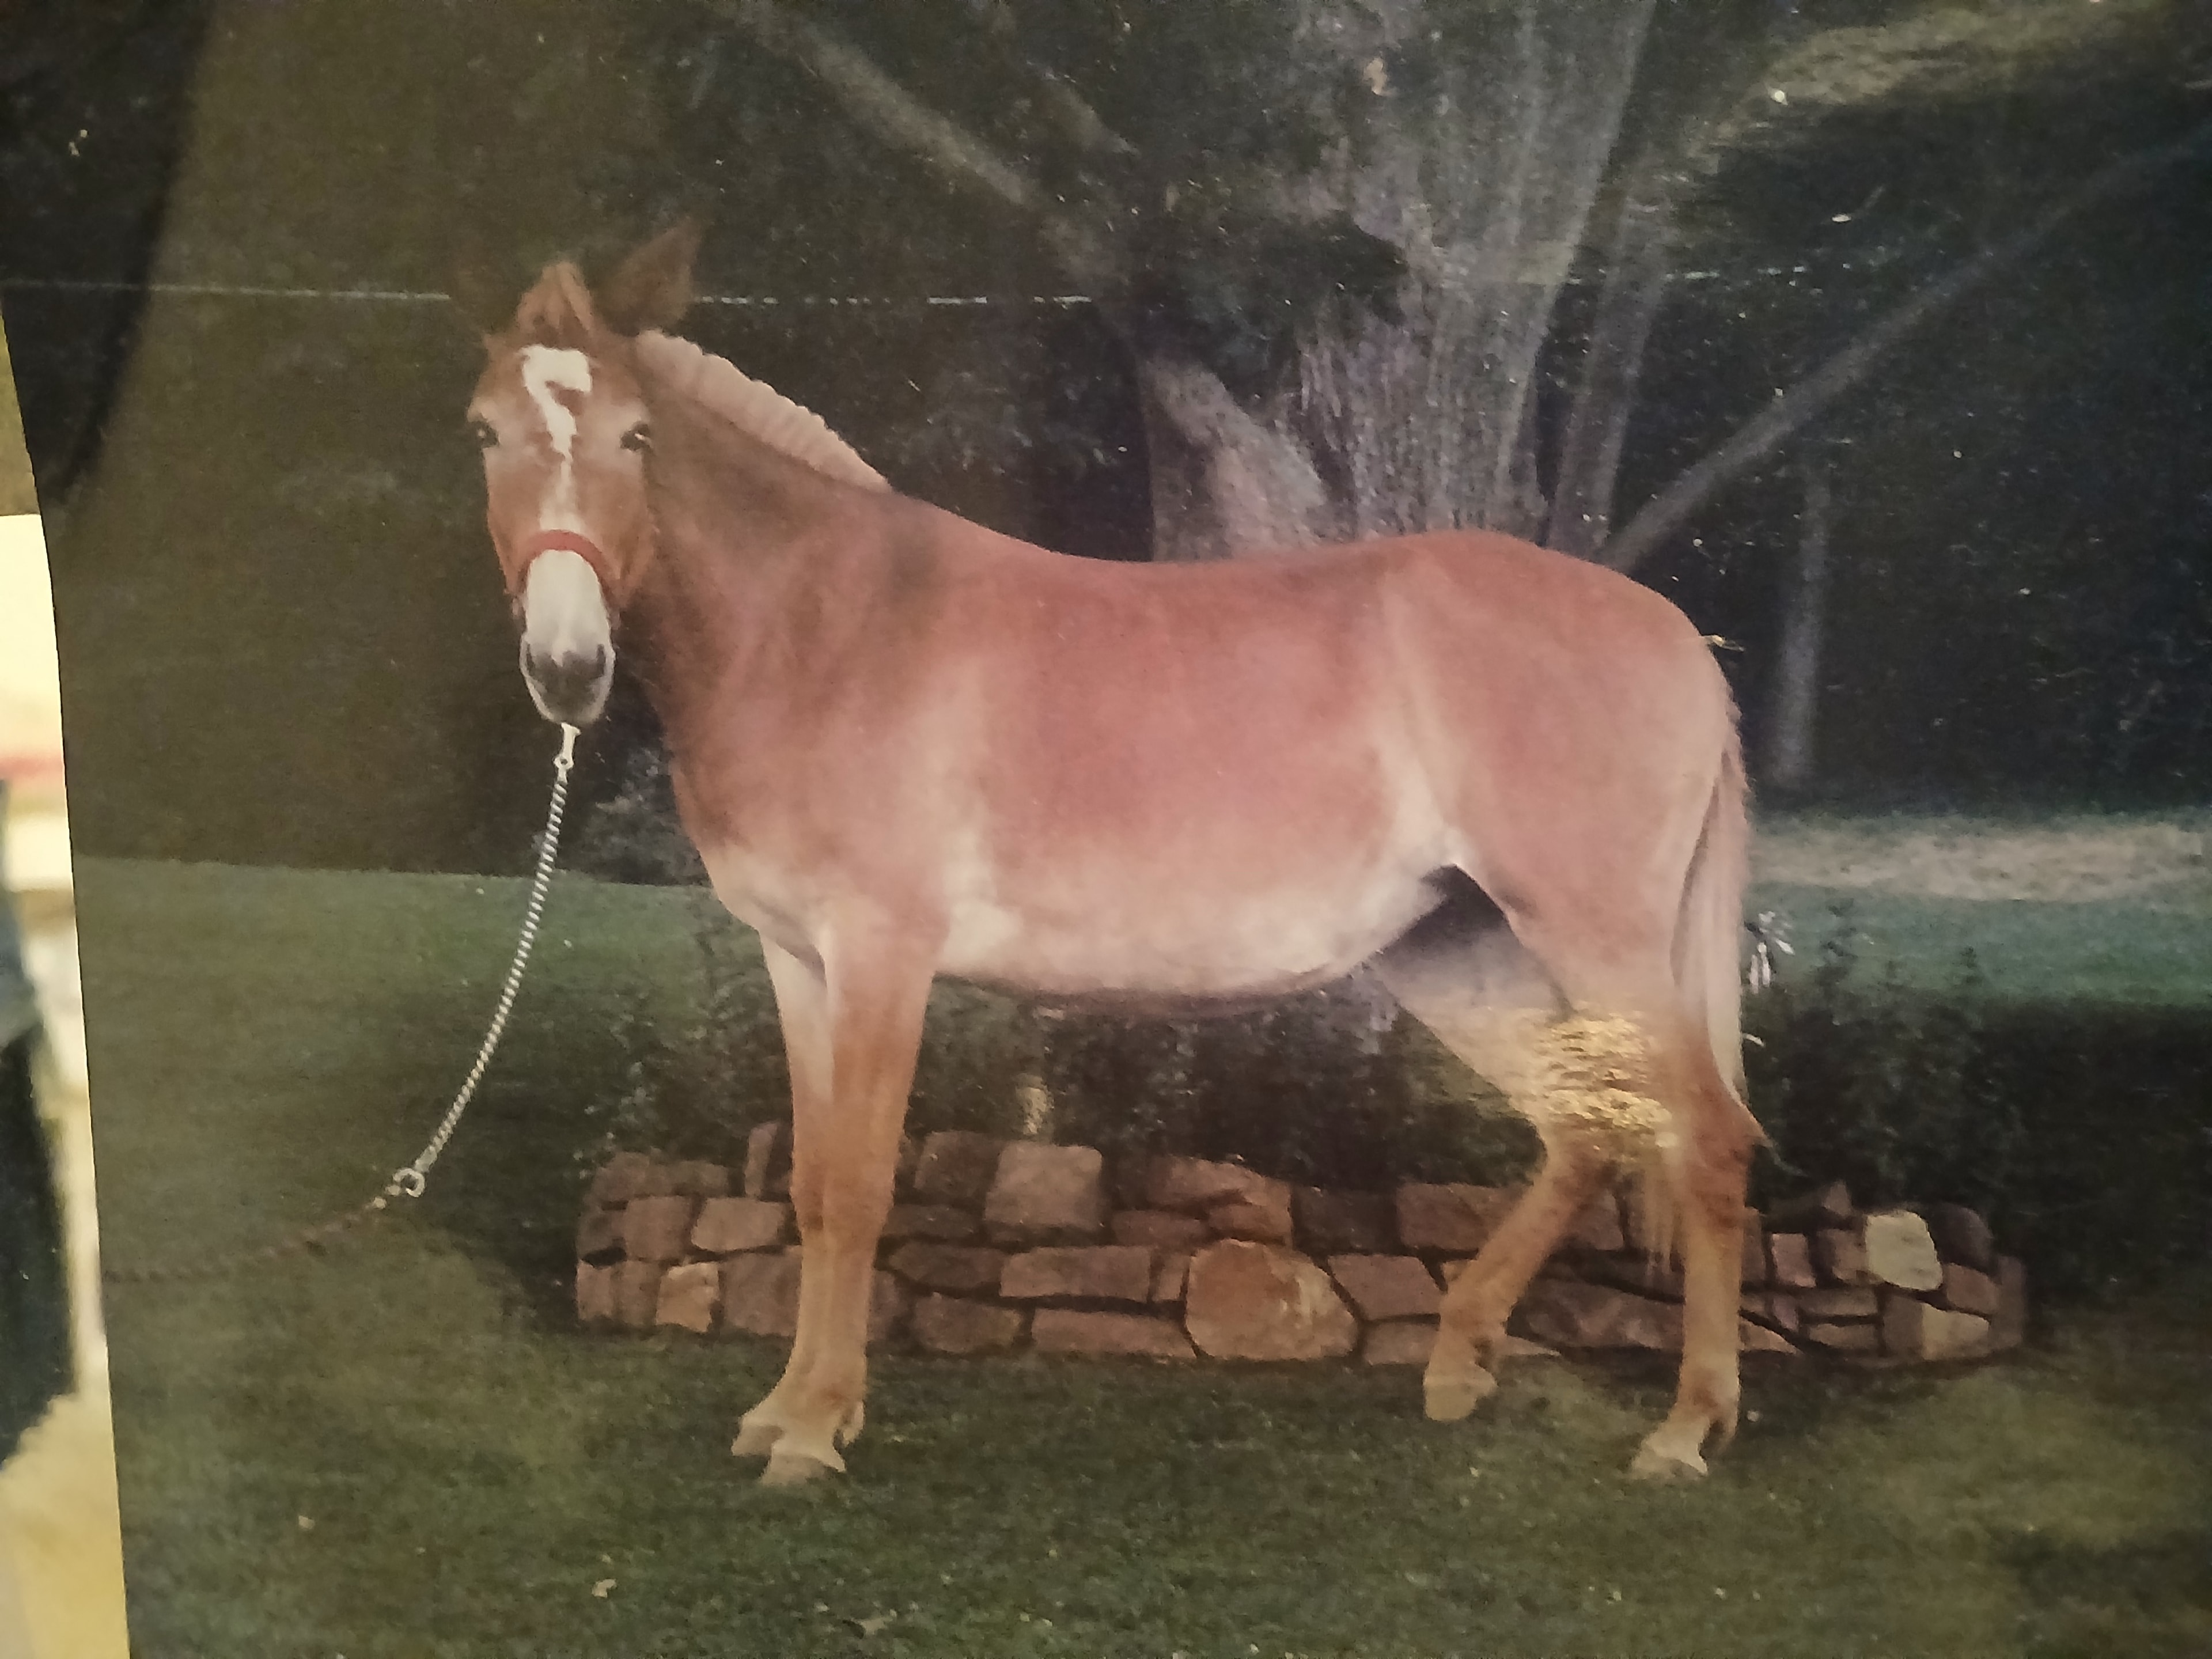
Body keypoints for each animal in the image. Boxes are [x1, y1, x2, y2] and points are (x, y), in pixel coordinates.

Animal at [465, 224, 1761, 1488]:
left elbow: (864, 1181)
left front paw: (816, 1428)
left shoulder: (884, 954)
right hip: (1460, 951)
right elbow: (813, 1187)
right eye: (483, 430)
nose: (568, 668)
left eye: (636, 434)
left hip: (1598, 938)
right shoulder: (799, 960)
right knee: (1586, 1130)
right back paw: (1460, 1361)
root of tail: (1675, 636)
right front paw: (784, 1409)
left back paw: (1685, 1429)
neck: (824, 630)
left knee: (1706, 1137)